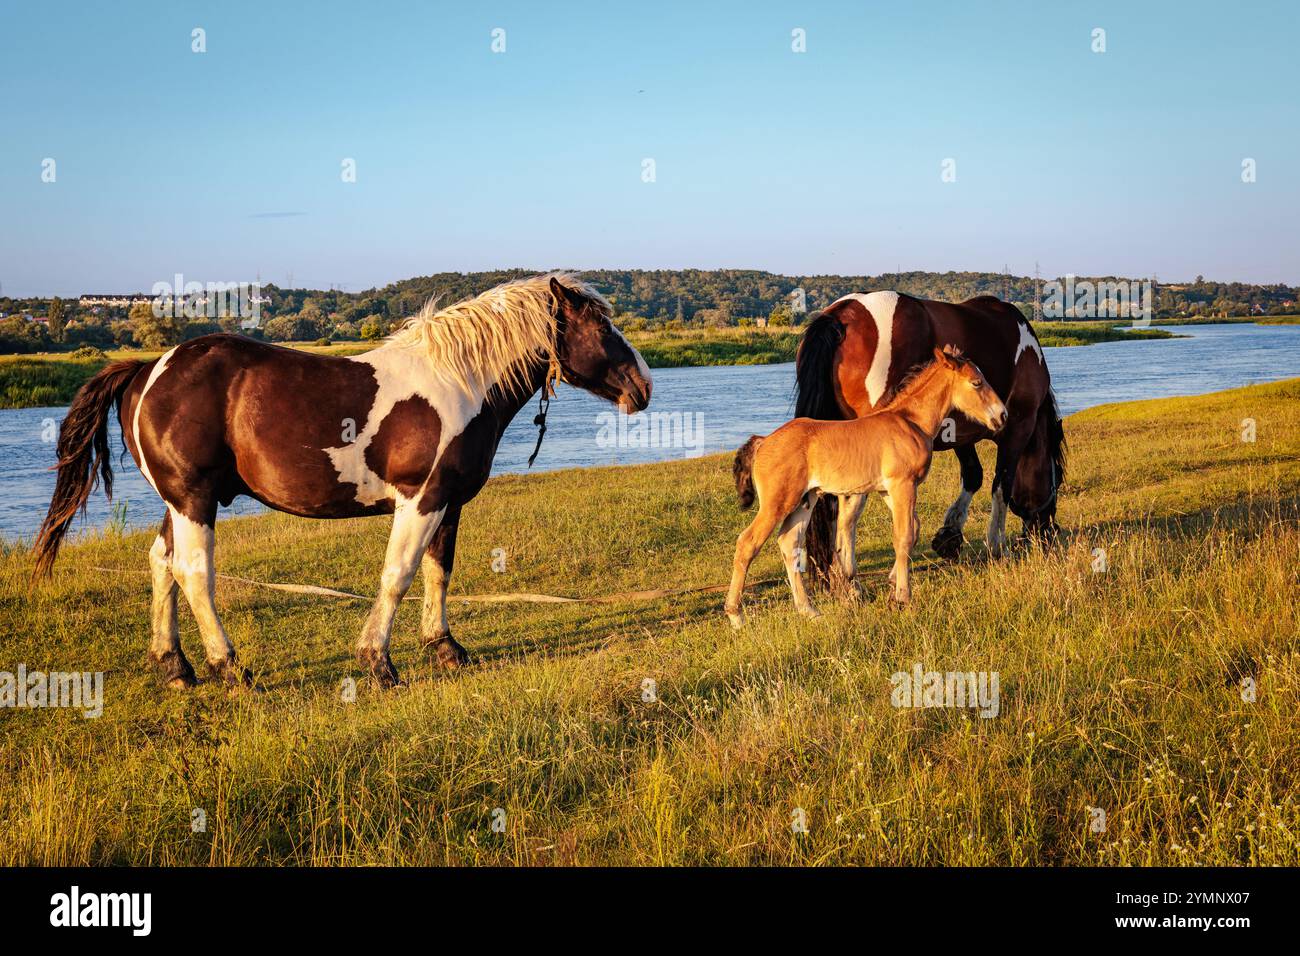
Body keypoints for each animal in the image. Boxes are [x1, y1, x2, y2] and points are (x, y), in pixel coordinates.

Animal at [32, 273, 653, 689]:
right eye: (601, 325)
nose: (643, 386)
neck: (458, 382)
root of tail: (147, 370)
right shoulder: (420, 499)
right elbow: (398, 575)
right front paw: (379, 663)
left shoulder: (448, 503)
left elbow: (439, 572)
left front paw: (444, 648)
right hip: (193, 499)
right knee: (193, 573)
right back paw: (230, 669)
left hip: (179, 501)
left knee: (160, 563)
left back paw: (176, 668)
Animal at [725, 347, 1008, 627]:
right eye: (976, 382)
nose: (1002, 415)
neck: (910, 421)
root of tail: (763, 441)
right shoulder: (903, 484)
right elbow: (904, 536)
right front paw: (902, 597)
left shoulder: (887, 490)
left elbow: (913, 530)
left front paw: (893, 583)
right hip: (779, 501)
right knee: (747, 543)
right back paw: (736, 615)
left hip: (806, 499)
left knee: (789, 542)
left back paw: (808, 610)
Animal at [793, 291, 1065, 584]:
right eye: (1057, 480)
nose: (1049, 532)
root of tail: (842, 315)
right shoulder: (1017, 428)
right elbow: (1001, 484)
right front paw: (995, 543)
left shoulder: (960, 431)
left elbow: (973, 475)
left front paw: (950, 535)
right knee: (850, 504)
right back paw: (849, 576)